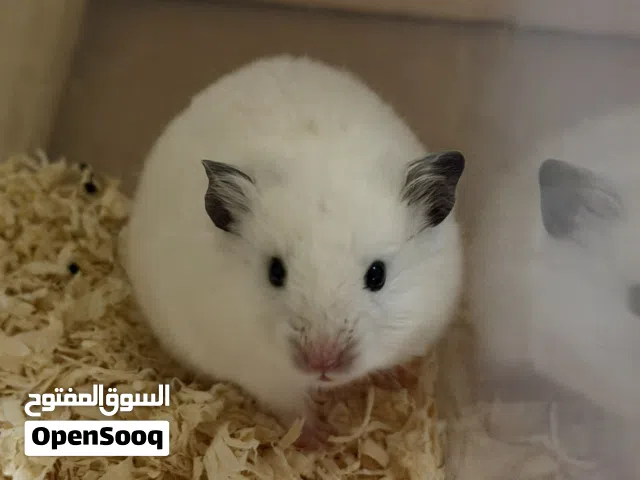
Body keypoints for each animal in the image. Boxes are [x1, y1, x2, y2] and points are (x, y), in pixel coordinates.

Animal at [125, 55, 465, 448]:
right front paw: (320, 441)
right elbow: (291, 405)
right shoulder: (257, 369)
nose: (323, 364)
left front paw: (397, 382)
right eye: (275, 272)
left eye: (377, 275)